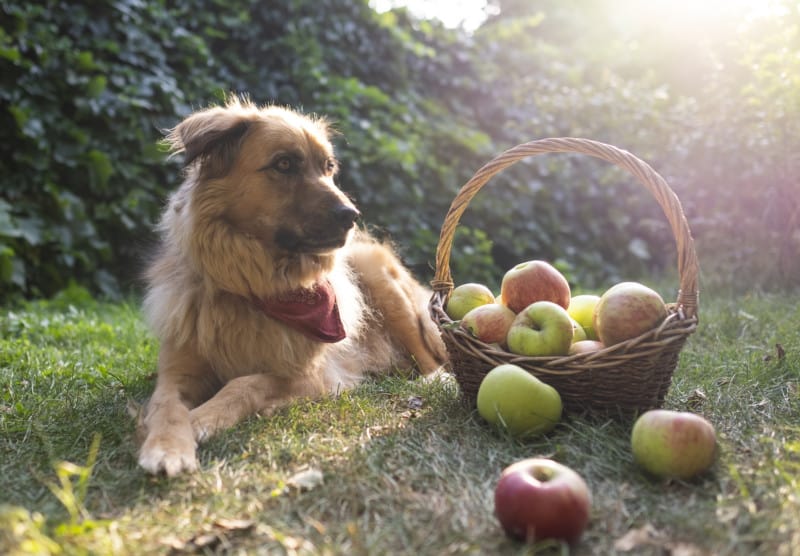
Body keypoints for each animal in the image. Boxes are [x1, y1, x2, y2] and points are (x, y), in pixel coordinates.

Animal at [138, 94, 450, 474]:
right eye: (284, 163)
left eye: (328, 167)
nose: (352, 216)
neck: (253, 288)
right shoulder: (176, 370)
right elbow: (166, 406)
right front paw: (167, 446)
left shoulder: (316, 374)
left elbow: (247, 382)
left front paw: (202, 418)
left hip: (379, 277)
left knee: (429, 359)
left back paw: (434, 380)